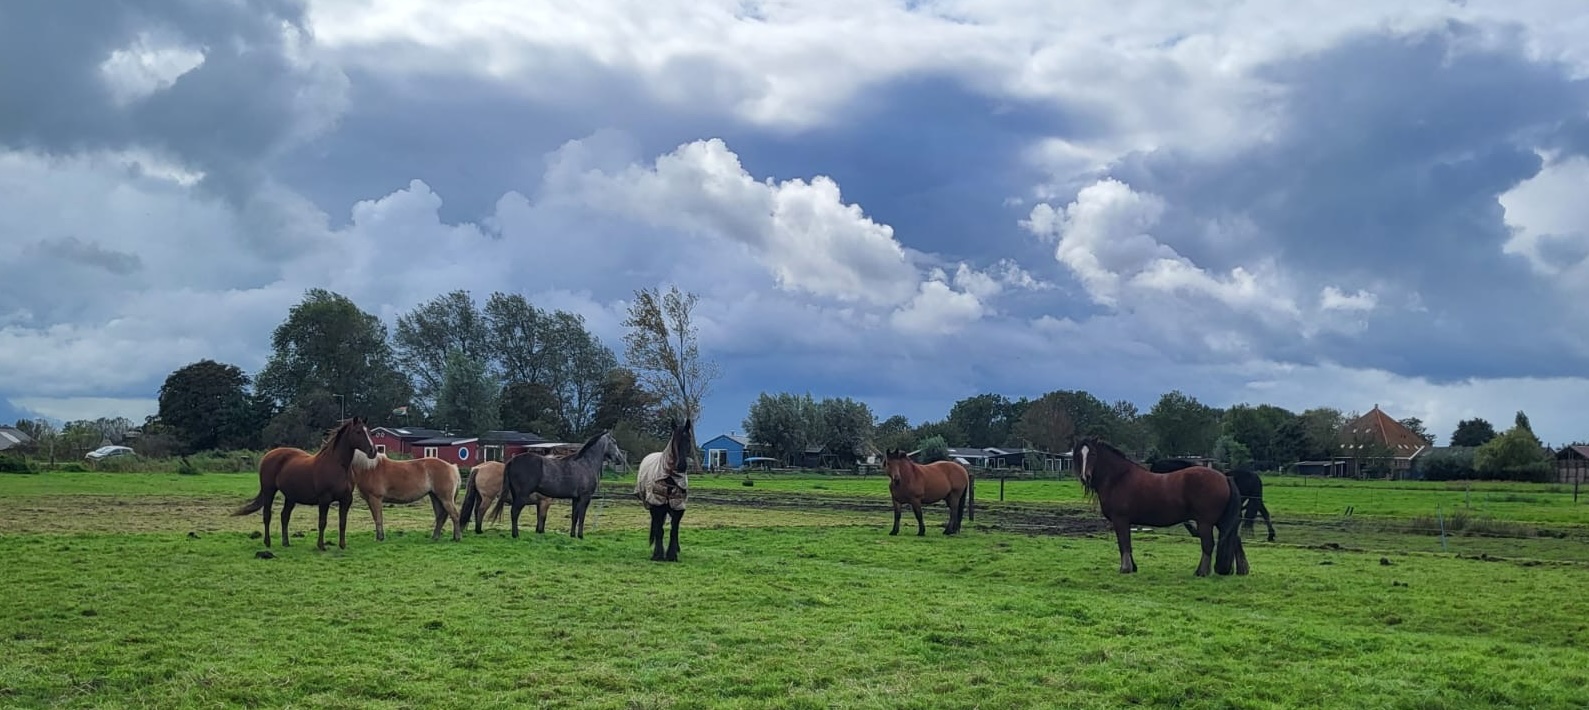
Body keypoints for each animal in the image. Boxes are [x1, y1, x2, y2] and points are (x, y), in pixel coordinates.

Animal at [232, 417, 375, 551]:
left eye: (369, 431)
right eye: (358, 432)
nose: (373, 451)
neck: (338, 466)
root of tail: (268, 455)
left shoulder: (346, 499)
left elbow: (343, 522)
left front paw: (342, 545)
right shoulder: (324, 499)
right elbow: (322, 522)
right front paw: (321, 546)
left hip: (290, 497)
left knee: (284, 516)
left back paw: (286, 543)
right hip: (269, 492)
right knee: (267, 515)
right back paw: (267, 542)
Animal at [634, 417, 695, 562]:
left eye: (688, 440)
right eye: (674, 441)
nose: (681, 465)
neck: (670, 479)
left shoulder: (678, 505)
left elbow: (674, 530)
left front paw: (672, 555)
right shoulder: (657, 504)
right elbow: (659, 530)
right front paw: (658, 554)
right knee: (657, 526)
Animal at [1074, 437, 1248, 576]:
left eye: (1093, 454)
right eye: (1079, 455)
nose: (1085, 477)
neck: (1119, 478)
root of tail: (1225, 477)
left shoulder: (1120, 520)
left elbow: (1123, 543)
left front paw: (1125, 568)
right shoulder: (1126, 522)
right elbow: (1128, 544)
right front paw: (1133, 567)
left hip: (1205, 522)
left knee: (1208, 544)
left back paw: (1201, 572)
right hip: (1222, 521)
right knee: (1234, 539)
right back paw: (1240, 569)